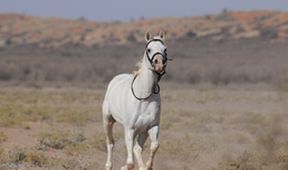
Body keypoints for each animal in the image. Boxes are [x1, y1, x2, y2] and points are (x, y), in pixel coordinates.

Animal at [102, 30, 169, 170]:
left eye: (164, 49)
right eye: (149, 49)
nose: (159, 64)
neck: (144, 96)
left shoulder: (151, 126)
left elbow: (155, 146)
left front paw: (148, 166)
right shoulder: (129, 129)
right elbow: (130, 162)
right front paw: (123, 167)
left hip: (142, 131)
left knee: (137, 148)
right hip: (108, 121)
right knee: (110, 143)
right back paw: (108, 165)